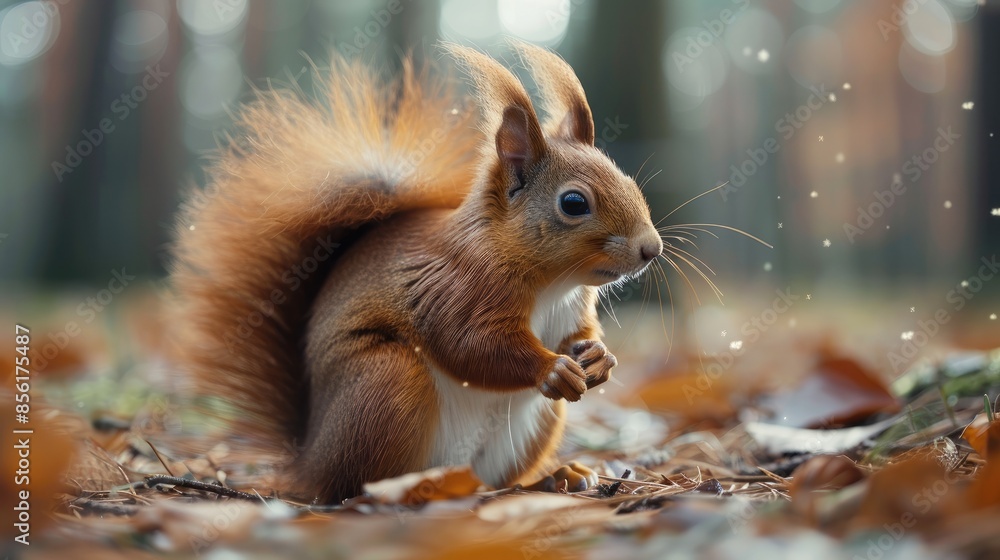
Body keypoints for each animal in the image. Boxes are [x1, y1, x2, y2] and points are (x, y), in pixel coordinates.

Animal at [168, 41, 662, 504]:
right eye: (574, 203)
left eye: (627, 180)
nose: (651, 249)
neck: (554, 284)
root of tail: (309, 459)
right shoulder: (459, 288)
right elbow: (470, 344)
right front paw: (553, 368)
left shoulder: (573, 309)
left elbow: (580, 333)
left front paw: (600, 358)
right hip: (386, 383)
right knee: (355, 486)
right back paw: (415, 491)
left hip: (527, 428)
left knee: (500, 481)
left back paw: (557, 477)